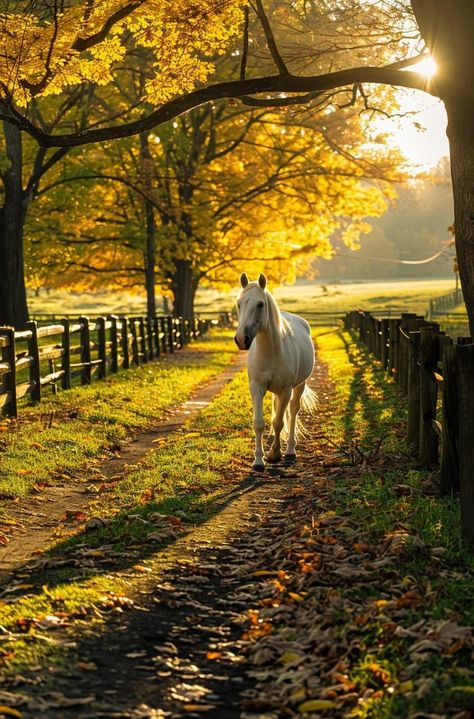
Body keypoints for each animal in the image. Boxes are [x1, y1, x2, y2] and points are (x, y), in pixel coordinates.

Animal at [233, 274, 314, 472]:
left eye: (260, 304)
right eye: (239, 304)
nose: (241, 339)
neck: (271, 351)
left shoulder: (286, 390)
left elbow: (279, 422)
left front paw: (275, 455)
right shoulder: (256, 388)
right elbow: (259, 424)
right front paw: (258, 461)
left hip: (298, 386)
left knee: (293, 412)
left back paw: (290, 450)